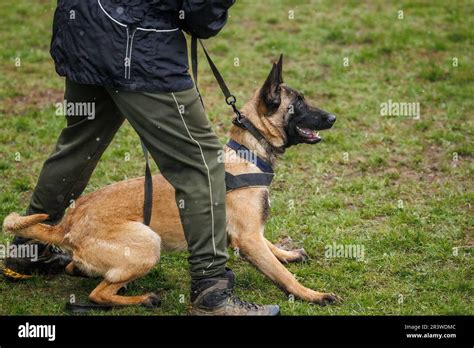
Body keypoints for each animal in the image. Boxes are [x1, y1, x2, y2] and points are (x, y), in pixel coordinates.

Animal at [2, 56, 336, 308]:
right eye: (299, 104)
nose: (333, 117)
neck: (248, 153)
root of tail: (66, 226)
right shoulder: (248, 237)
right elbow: (282, 274)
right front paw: (312, 294)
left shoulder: (251, 234)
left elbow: (272, 247)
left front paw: (288, 254)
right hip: (149, 243)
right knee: (98, 295)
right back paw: (143, 298)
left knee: (79, 270)